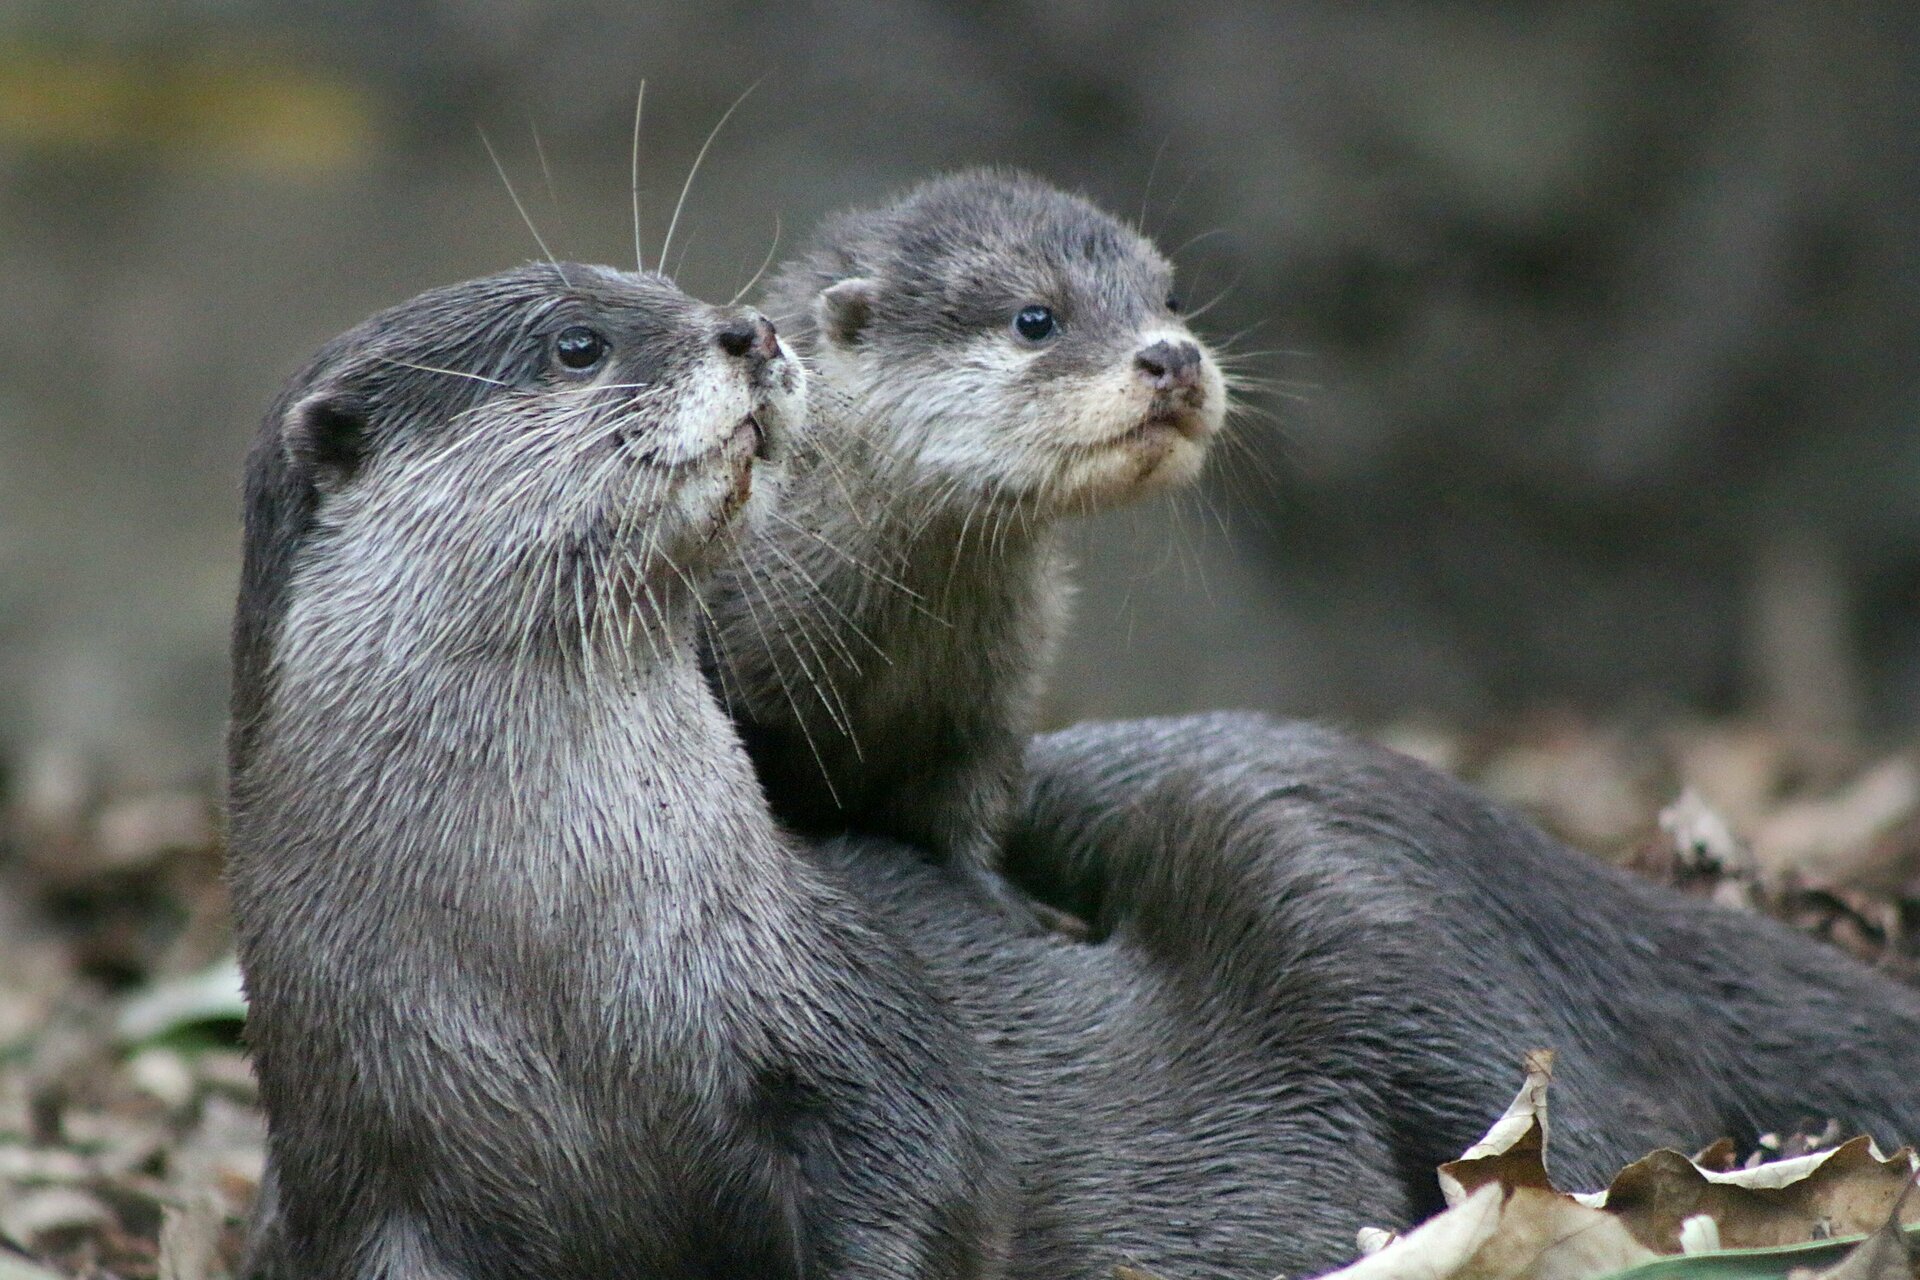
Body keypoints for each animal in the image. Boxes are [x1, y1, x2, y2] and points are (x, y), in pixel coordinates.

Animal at [224, 263, 1010, 1279]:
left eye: (667, 288)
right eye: (577, 345)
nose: (752, 329)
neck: (556, 978)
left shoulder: (851, 1017)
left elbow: (926, 1164)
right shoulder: (351, 1170)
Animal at [700, 169, 1224, 927]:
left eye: (1171, 301)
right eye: (1035, 319)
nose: (1176, 357)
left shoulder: (990, 706)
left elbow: (969, 803)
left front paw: (1017, 903)